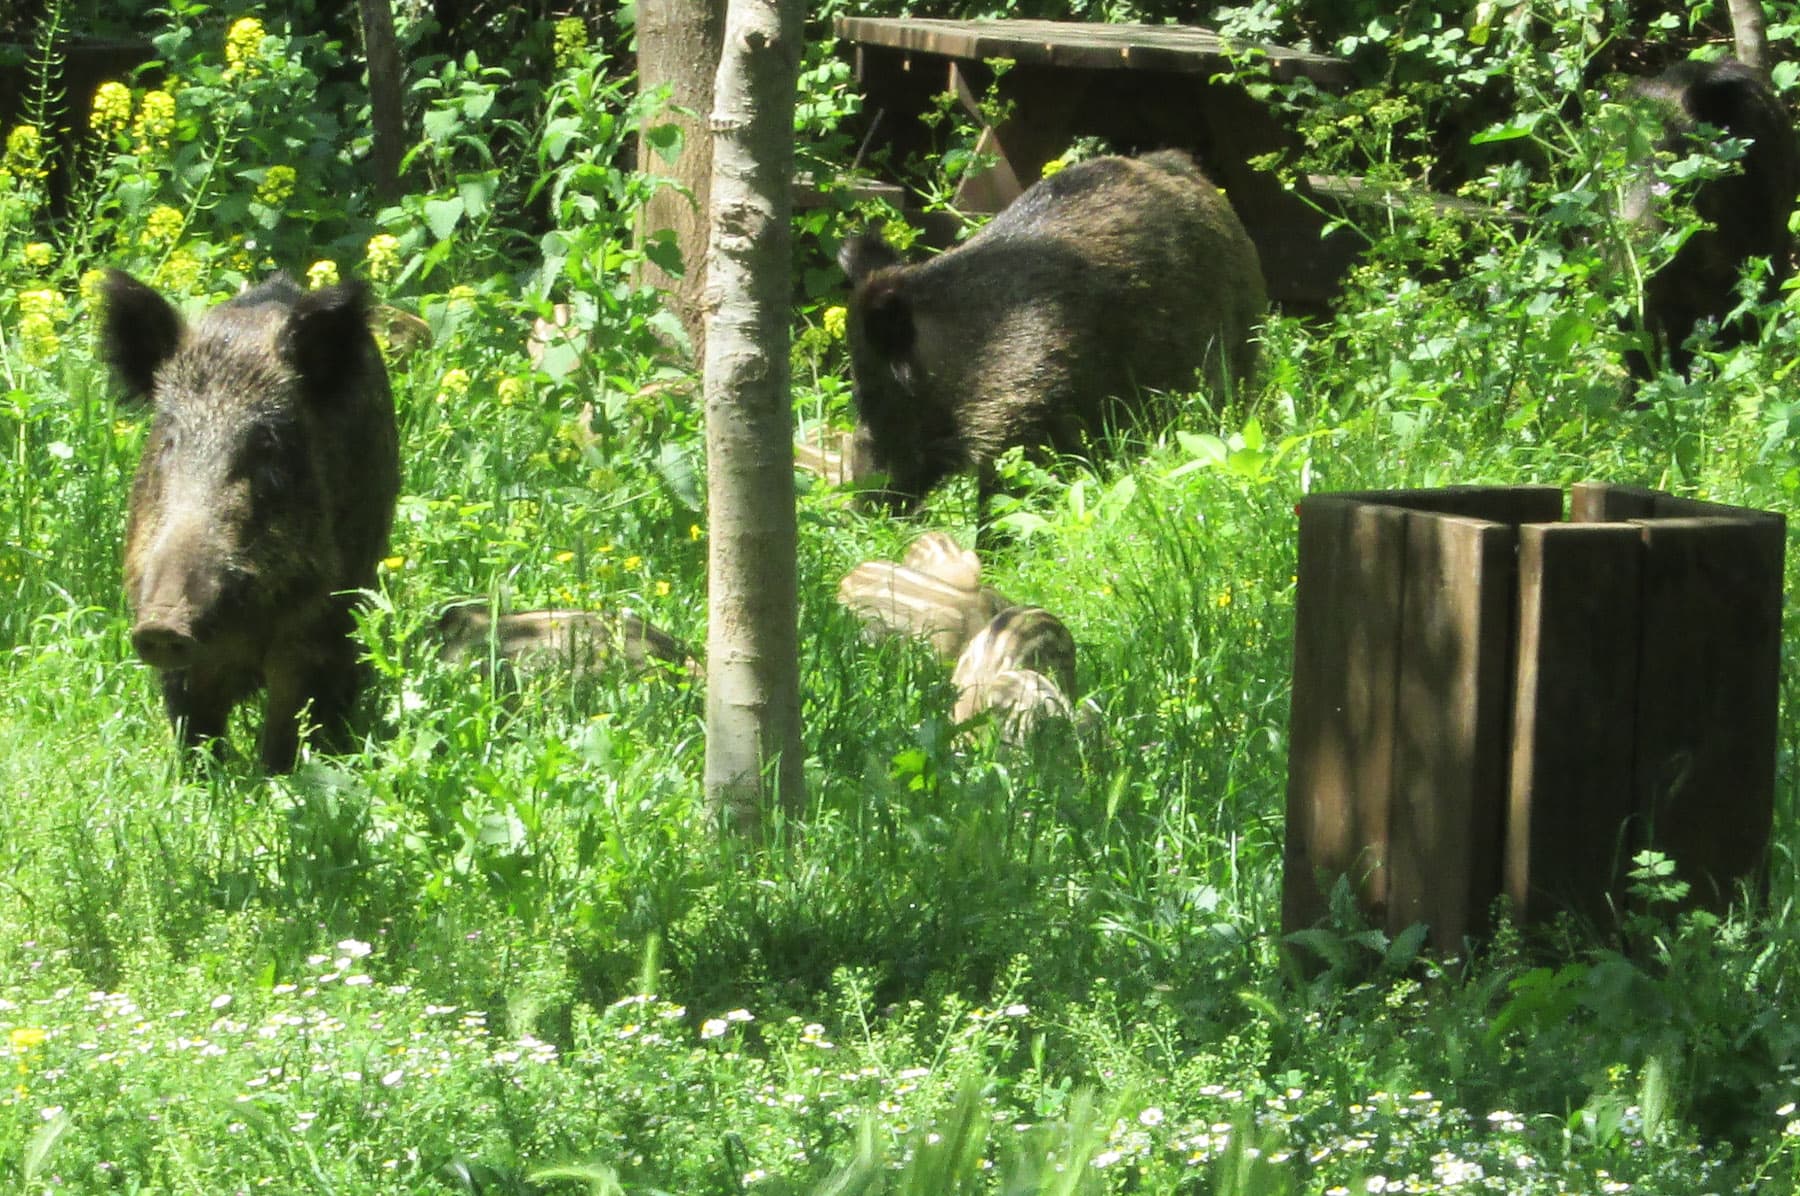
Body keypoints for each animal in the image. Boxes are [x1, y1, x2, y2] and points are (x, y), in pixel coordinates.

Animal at [101, 271, 400, 771]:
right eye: (169, 440)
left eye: (266, 445)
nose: (162, 625)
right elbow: (195, 727)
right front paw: (203, 779)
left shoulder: (316, 627)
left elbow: (290, 725)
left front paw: (279, 777)